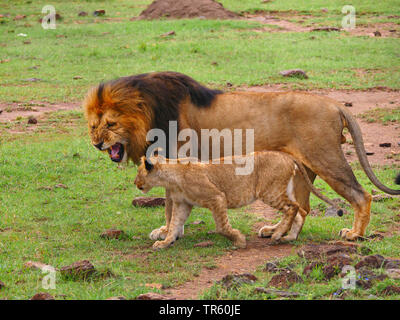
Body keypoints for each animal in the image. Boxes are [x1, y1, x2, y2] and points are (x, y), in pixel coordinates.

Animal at [134, 151, 340, 249]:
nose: (135, 182)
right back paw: (288, 237)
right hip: (280, 191)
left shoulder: (217, 197)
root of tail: (287, 155)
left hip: (269, 192)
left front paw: (239, 240)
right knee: (299, 211)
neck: (172, 176)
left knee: (293, 208)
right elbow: (174, 224)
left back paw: (276, 235)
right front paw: (165, 243)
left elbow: (222, 226)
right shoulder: (183, 204)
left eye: (138, 172)